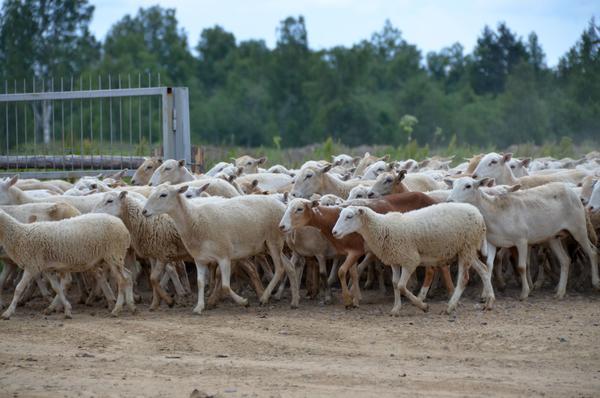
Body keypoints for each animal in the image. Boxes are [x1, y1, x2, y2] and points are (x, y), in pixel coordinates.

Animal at [0, 211, 135, 320]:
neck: (20, 236)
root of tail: (123, 227)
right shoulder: (47, 268)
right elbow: (57, 288)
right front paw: (67, 310)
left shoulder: (31, 266)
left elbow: (18, 289)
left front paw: (7, 313)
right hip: (115, 257)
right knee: (128, 276)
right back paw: (131, 305)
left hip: (114, 254)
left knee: (122, 280)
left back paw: (116, 309)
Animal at [330, 204, 494, 316]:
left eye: (349, 216)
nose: (334, 232)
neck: (383, 228)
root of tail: (479, 214)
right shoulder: (395, 260)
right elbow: (395, 284)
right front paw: (396, 309)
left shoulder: (410, 260)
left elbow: (402, 286)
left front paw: (422, 305)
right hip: (467, 249)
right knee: (484, 270)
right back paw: (489, 302)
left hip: (467, 247)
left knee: (464, 278)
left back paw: (450, 306)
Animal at [448, 177, 596, 298]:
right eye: (453, 185)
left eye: (468, 186)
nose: (450, 200)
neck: (494, 212)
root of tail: (570, 190)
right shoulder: (492, 243)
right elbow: (488, 266)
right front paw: (485, 294)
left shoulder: (522, 241)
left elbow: (521, 267)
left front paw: (525, 293)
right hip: (553, 236)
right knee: (565, 260)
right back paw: (560, 292)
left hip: (578, 228)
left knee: (592, 252)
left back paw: (595, 283)